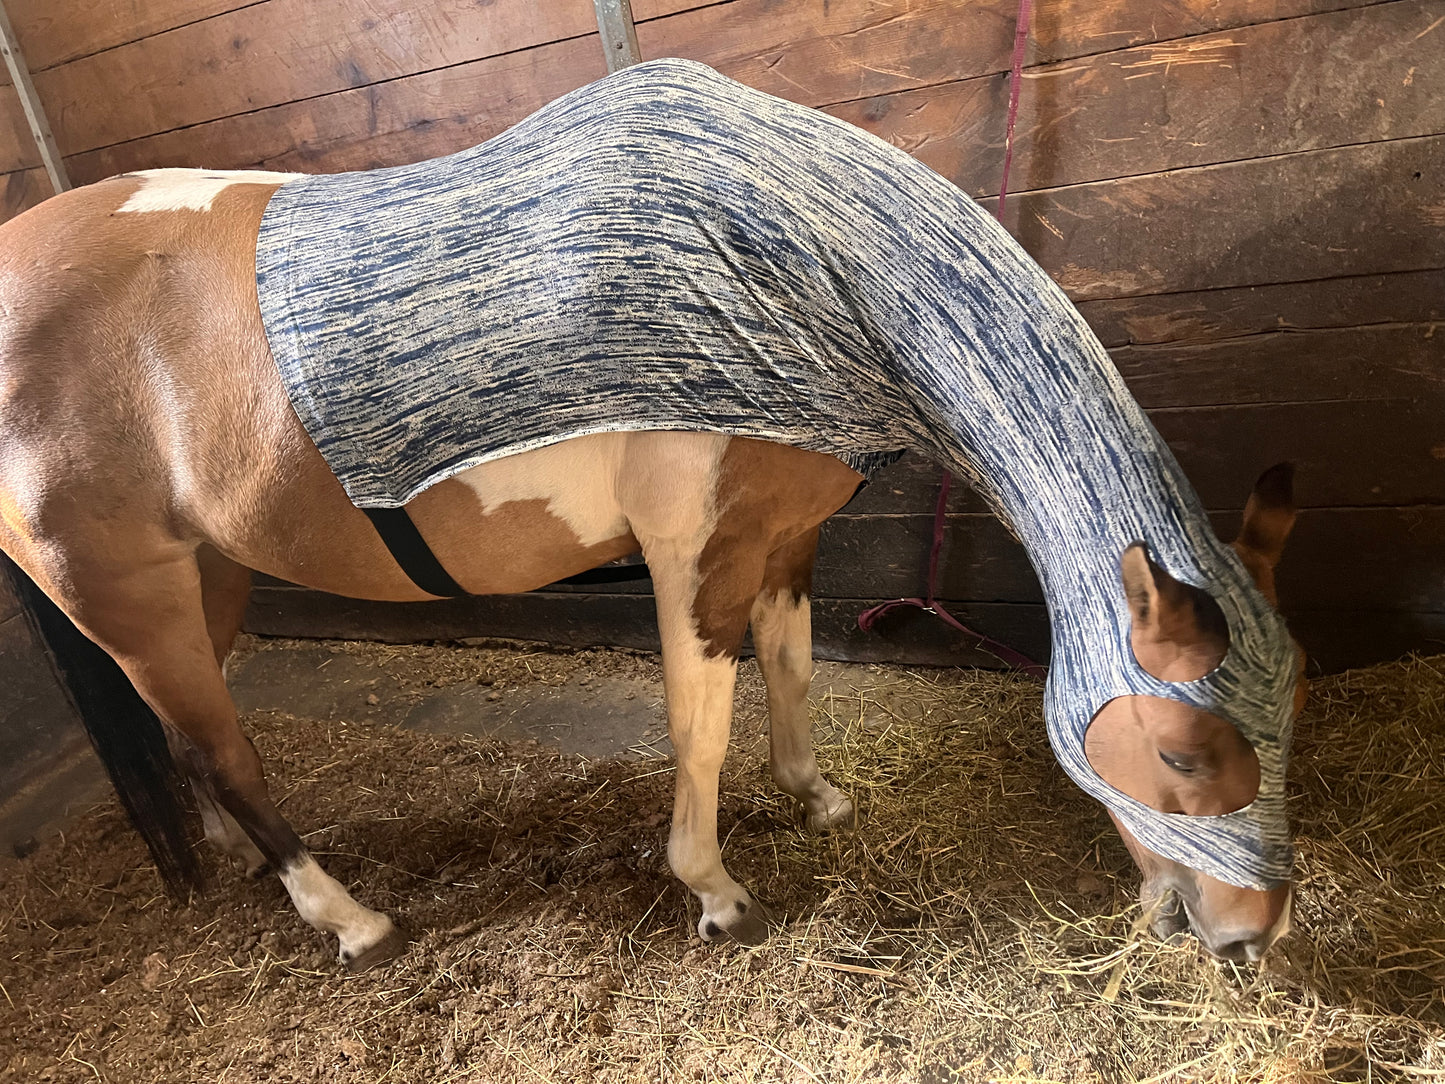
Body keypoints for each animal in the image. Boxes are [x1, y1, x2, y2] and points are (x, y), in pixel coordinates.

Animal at [0, 59, 1302, 970]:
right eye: (1183, 751)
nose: (1247, 934)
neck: (792, 259)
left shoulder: (784, 540)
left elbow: (791, 672)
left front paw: (813, 796)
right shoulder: (696, 556)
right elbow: (699, 728)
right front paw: (713, 891)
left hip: (203, 576)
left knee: (191, 740)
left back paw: (234, 864)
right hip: (135, 593)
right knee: (229, 756)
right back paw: (348, 916)